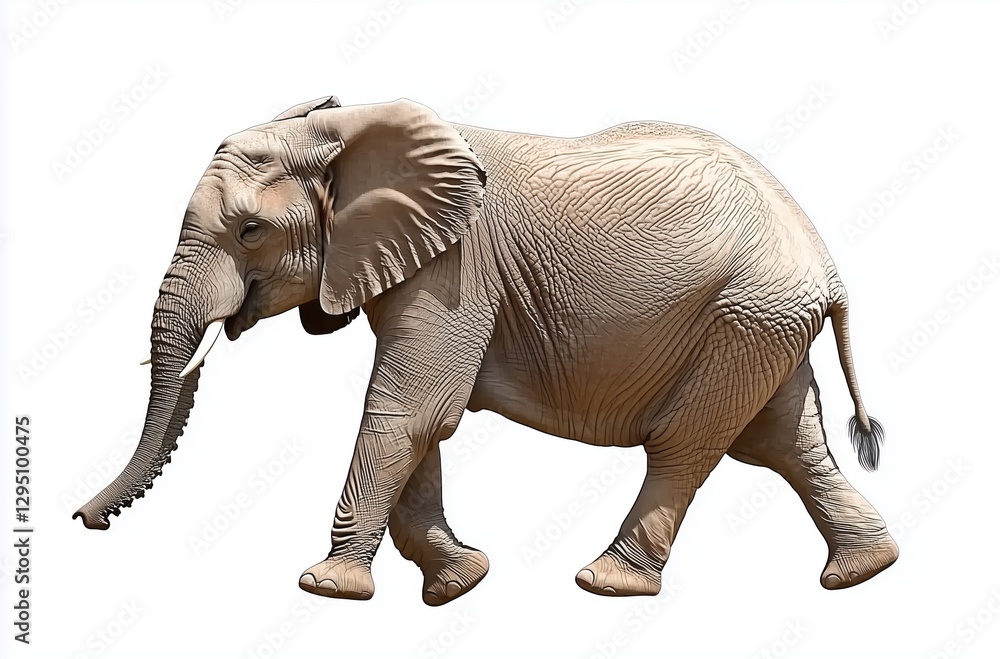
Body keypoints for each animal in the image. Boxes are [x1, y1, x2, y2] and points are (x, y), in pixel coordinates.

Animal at [74, 95, 898, 605]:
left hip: (744, 313)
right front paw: (460, 582)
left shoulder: (458, 267)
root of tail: (827, 264)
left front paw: (328, 589)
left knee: (690, 444)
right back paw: (863, 571)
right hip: (760, 322)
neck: (348, 128)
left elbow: (410, 413)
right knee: (785, 441)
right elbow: (423, 421)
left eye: (250, 232)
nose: (85, 520)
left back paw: (606, 583)